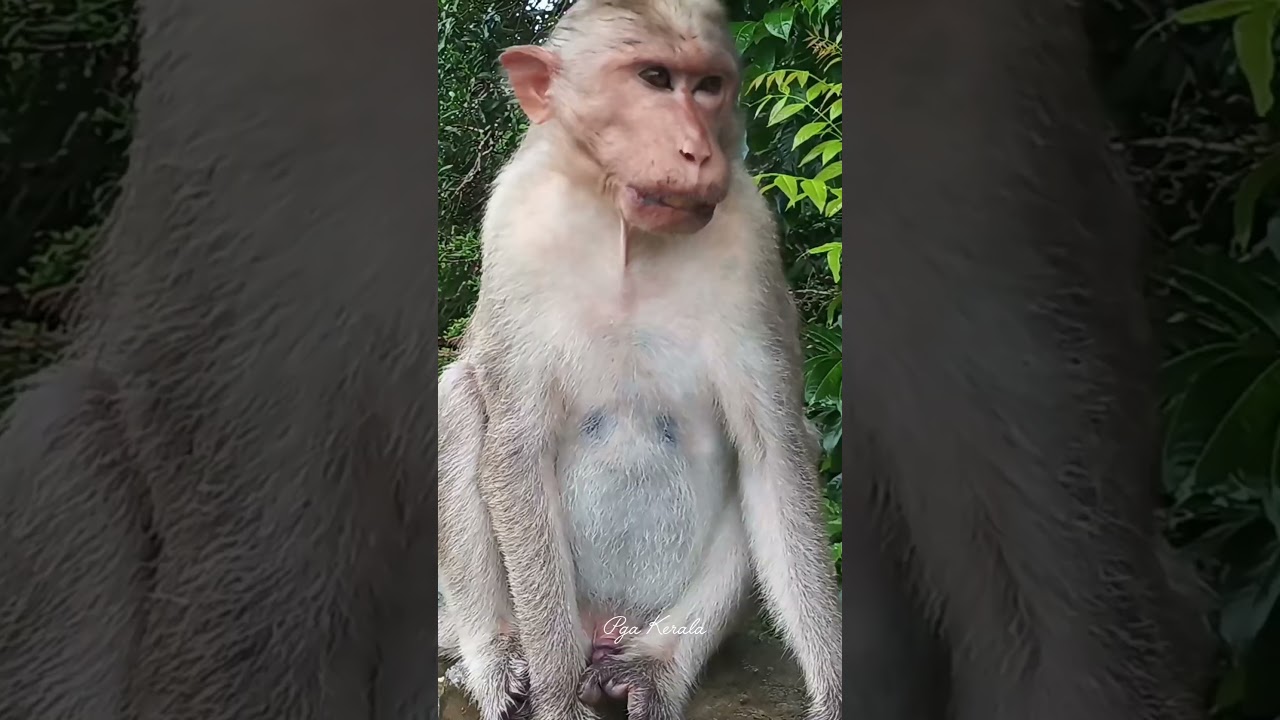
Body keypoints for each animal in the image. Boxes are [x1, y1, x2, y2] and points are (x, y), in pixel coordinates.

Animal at [435, 0, 843, 719]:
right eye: (653, 79)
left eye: (708, 86)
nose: (698, 150)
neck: (626, 234)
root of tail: (605, 626)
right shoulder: (514, 224)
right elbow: (515, 444)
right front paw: (556, 697)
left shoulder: (750, 236)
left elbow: (773, 450)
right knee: (459, 397)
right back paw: (497, 656)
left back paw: (654, 666)